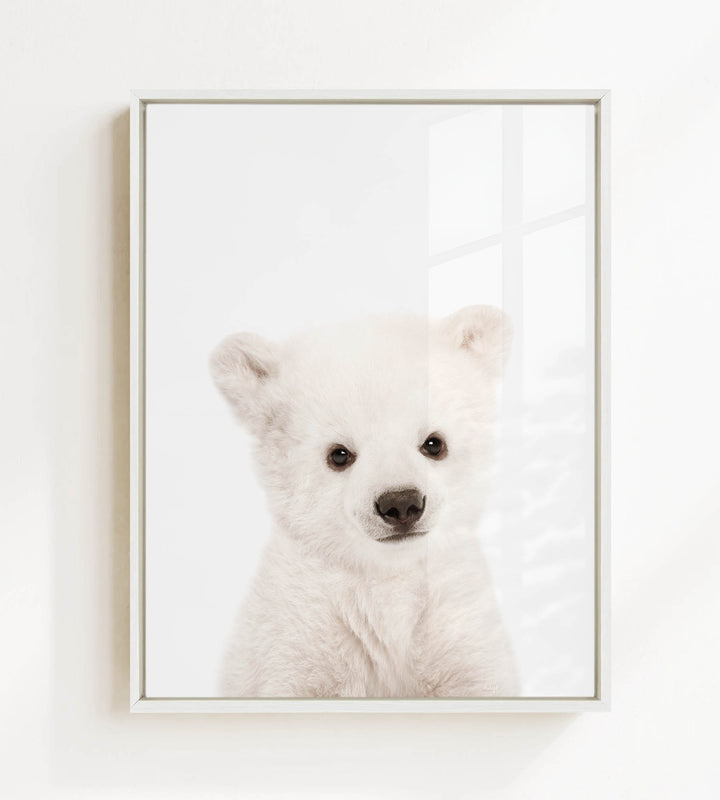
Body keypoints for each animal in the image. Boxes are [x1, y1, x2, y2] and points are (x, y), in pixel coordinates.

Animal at [210, 305, 518, 698]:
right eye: (339, 454)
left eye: (434, 443)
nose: (401, 503)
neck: (386, 579)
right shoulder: (298, 629)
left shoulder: (456, 621)